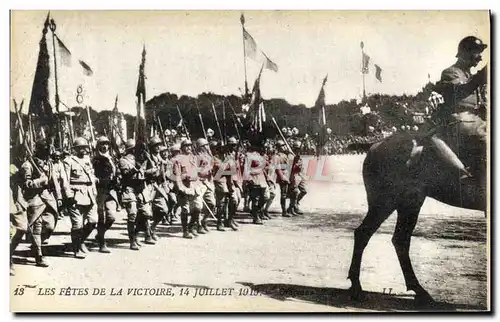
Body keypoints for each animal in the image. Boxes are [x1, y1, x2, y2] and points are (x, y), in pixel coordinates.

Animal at [346, 112, 486, 306]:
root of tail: (376, 144)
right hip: (386, 202)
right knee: (364, 234)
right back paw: (357, 288)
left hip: (409, 204)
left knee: (399, 240)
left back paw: (419, 290)